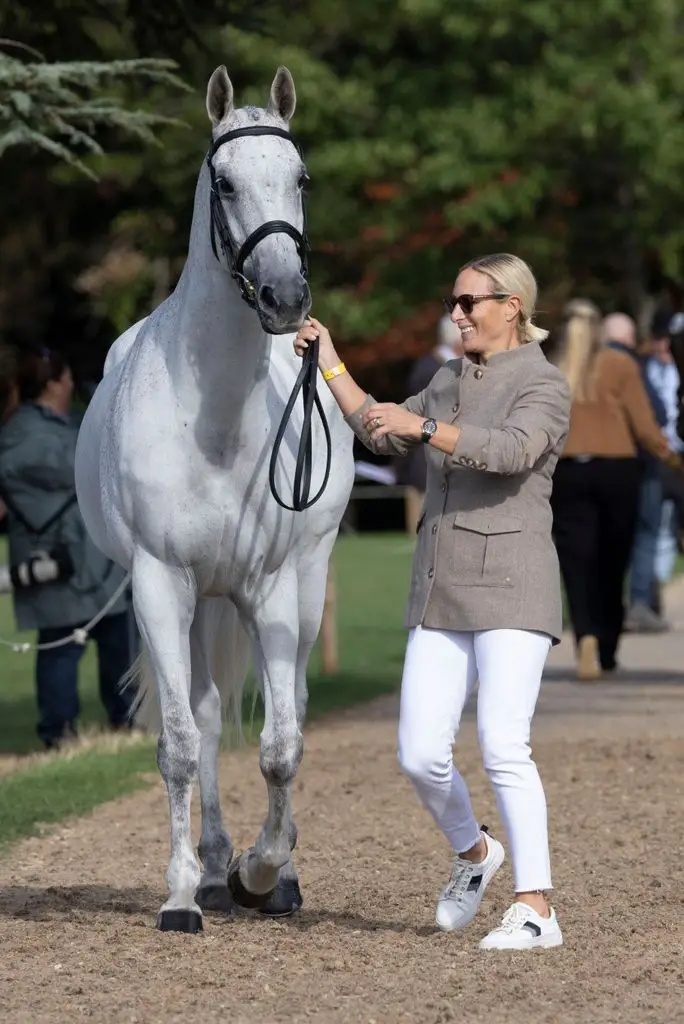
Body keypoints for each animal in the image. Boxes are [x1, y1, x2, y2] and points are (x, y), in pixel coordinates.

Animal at [74, 64, 355, 933]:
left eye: (301, 177)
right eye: (224, 181)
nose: (284, 296)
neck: (219, 423)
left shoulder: (271, 589)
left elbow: (281, 746)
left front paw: (266, 874)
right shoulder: (161, 584)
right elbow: (179, 742)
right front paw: (182, 890)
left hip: (301, 586)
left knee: (288, 704)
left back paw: (264, 869)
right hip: (197, 602)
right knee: (199, 713)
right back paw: (210, 866)